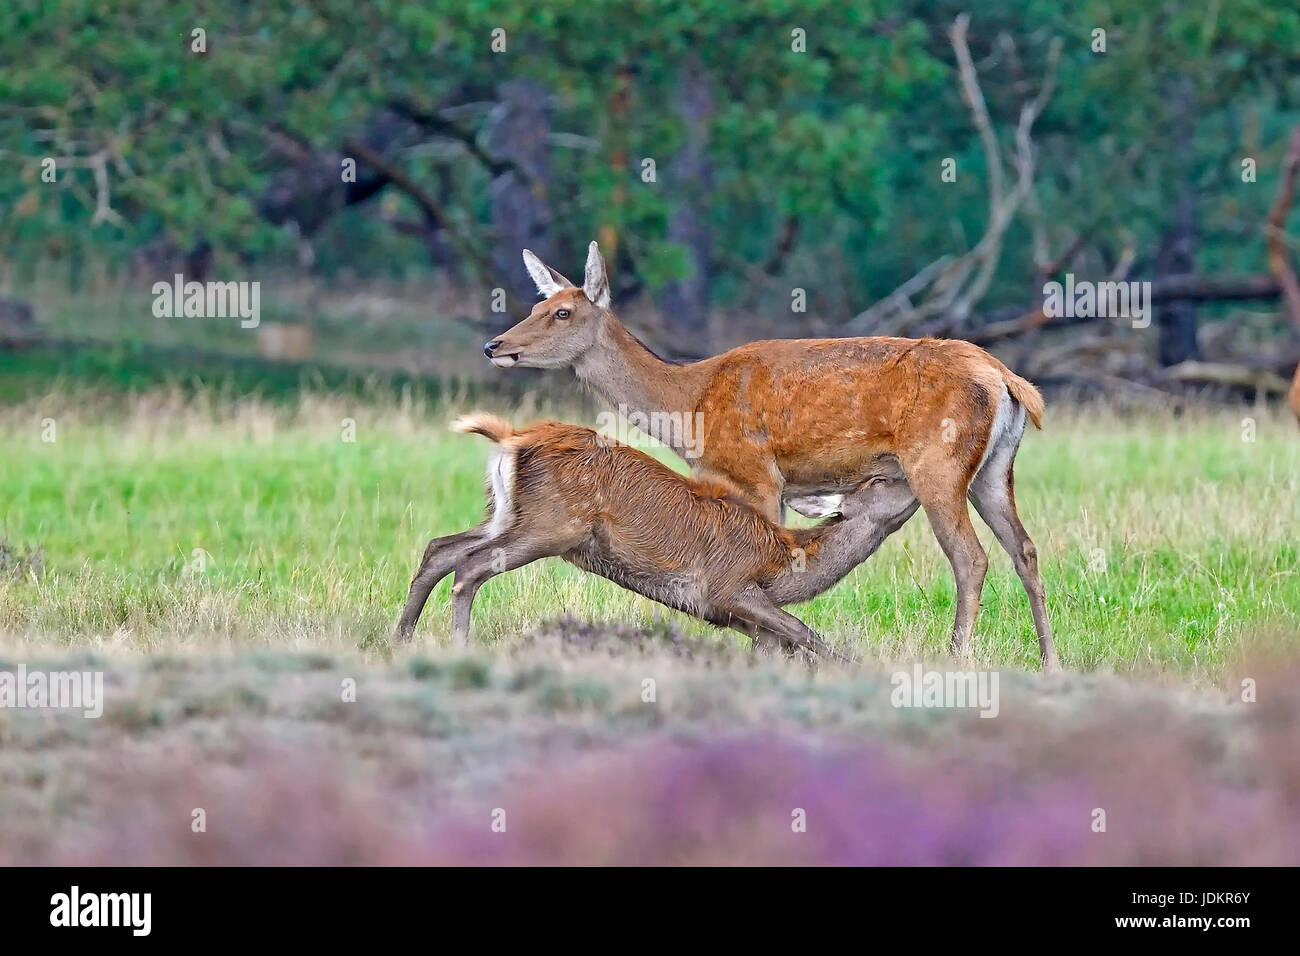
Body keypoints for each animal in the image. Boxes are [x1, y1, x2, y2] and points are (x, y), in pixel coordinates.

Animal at [483, 243, 1060, 671]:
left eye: (562, 311)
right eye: (534, 306)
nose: (495, 345)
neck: (686, 408)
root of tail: (1008, 381)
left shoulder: (751, 472)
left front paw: (765, 652)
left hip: (936, 464)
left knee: (970, 557)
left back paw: (957, 659)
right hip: (993, 470)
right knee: (1025, 549)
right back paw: (1050, 663)